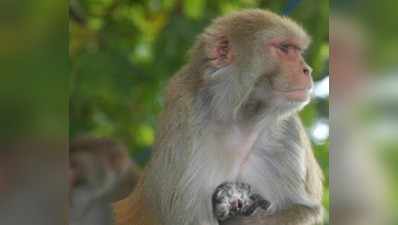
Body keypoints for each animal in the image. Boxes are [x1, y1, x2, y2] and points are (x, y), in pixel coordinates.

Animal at [112, 9, 324, 225]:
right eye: (285, 48)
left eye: (298, 50)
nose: (307, 70)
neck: (240, 120)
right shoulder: (183, 119)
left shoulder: (286, 131)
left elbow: (302, 209)